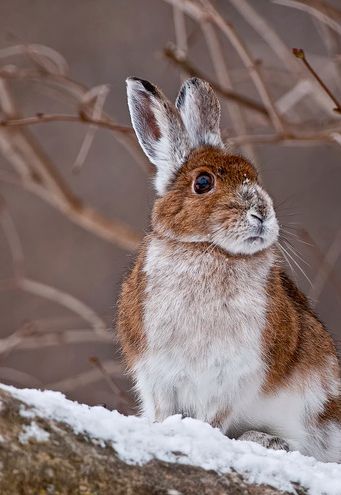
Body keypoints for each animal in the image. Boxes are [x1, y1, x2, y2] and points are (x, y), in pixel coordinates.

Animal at [115, 75, 338, 464]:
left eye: (253, 176)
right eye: (203, 183)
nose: (261, 214)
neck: (210, 251)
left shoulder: (233, 377)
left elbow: (214, 418)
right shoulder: (156, 372)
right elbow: (163, 410)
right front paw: (166, 429)